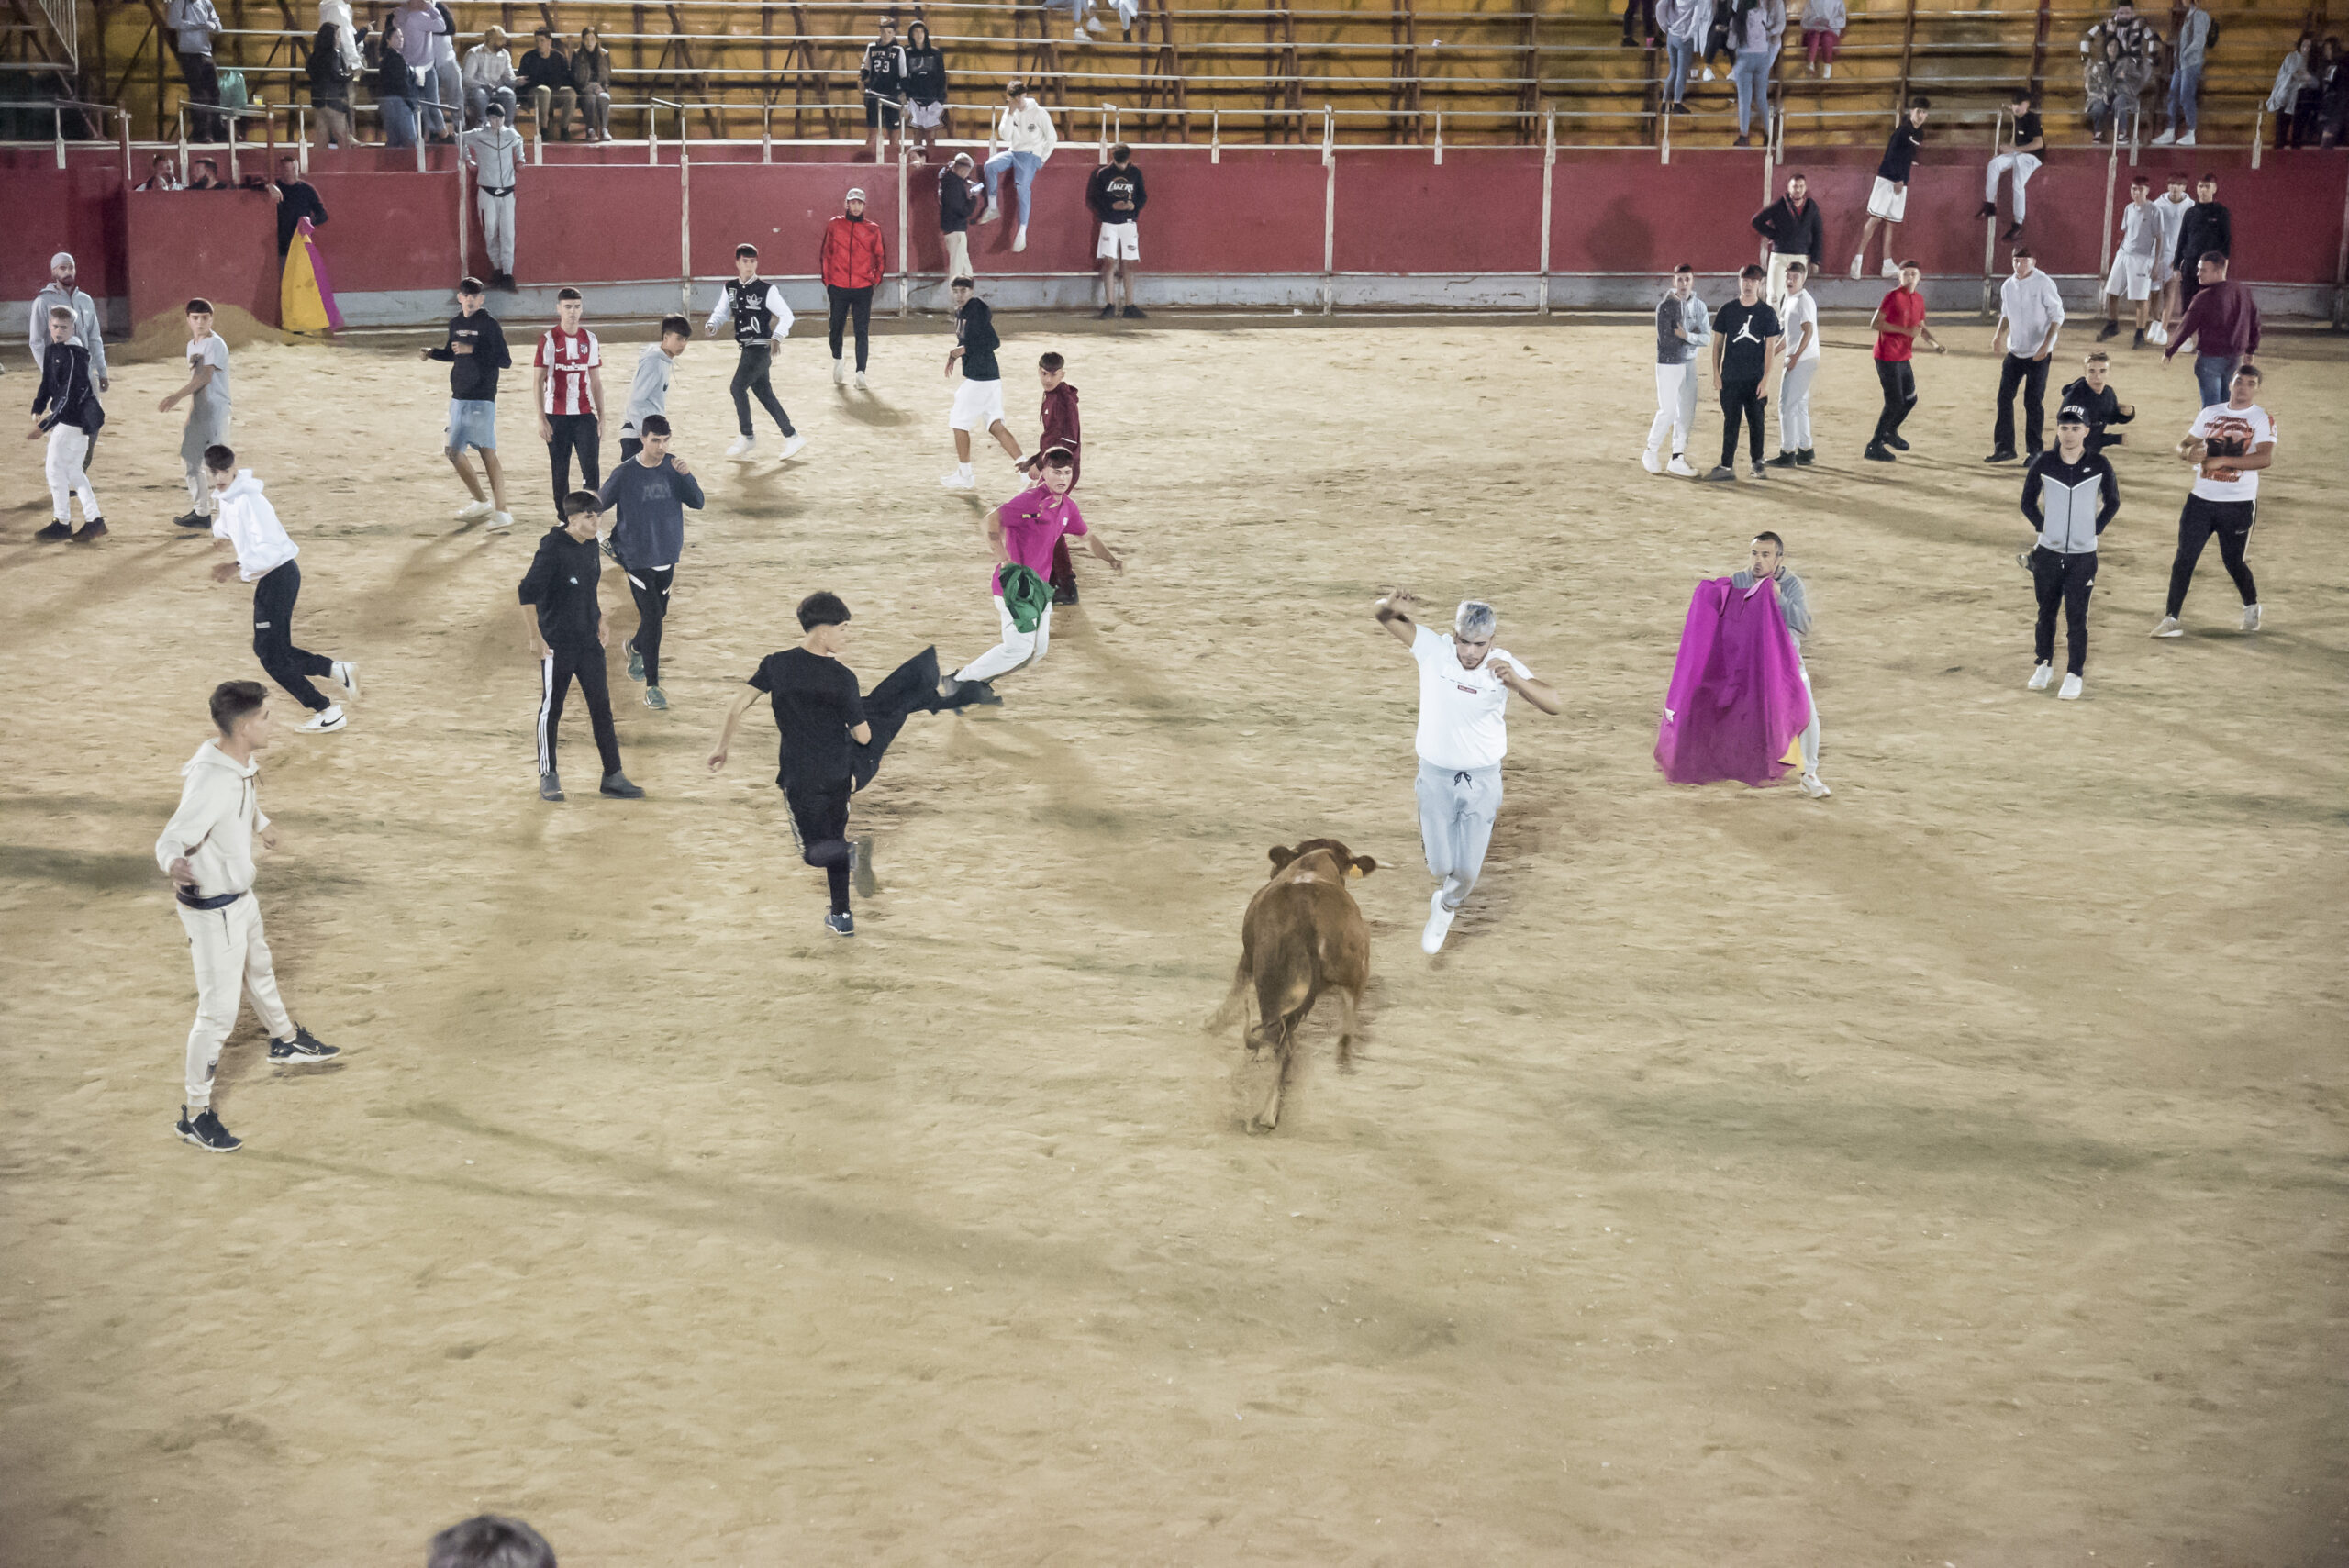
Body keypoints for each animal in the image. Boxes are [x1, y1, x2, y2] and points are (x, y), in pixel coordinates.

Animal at [1211, 840, 1372, 1131]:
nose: (1271, 871)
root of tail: (1308, 919)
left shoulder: (1248, 956)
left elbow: (1237, 985)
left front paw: (1212, 1022)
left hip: (1271, 989)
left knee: (1282, 1046)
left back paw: (1267, 1114)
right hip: (1356, 973)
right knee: (1345, 1031)